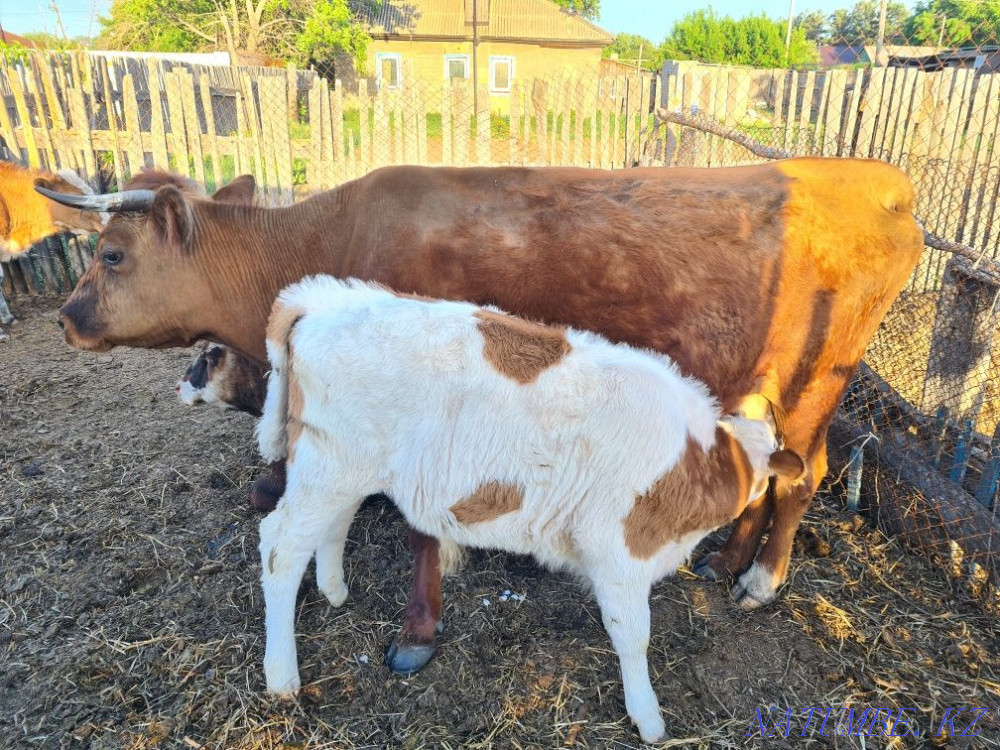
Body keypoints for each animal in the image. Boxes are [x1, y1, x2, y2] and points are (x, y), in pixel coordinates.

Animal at [38, 158, 924, 676]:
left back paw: (761, 579)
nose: (66, 318)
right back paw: (725, 558)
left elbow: (421, 529)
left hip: (818, 385)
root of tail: (867, 176)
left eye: (111, 255)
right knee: (764, 473)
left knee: (799, 478)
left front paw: (418, 630)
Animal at [256, 276, 807, 742]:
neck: (703, 457)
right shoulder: (616, 547)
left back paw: (334, 591)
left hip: (343, 466)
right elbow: (633, 636)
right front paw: (649, 719)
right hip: (330, 466)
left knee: (333, 523)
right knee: (279, 548)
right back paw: (282, 678)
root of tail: (322, 300)